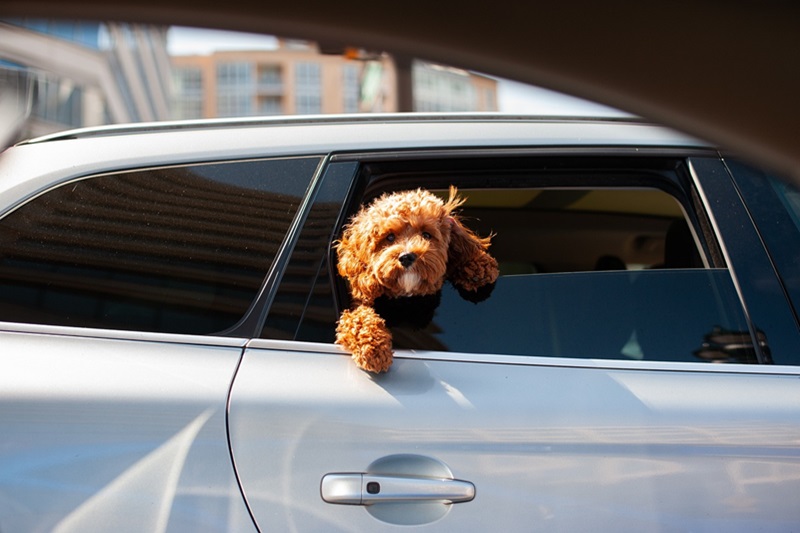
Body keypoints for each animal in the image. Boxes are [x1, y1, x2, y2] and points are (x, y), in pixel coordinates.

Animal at [334, 189, 496, 372]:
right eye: (390, 237)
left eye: (426, 235)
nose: (406, 257)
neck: (407, 297)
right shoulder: (356, 306)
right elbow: (358, 319)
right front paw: (373, 349)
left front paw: (479, 265)